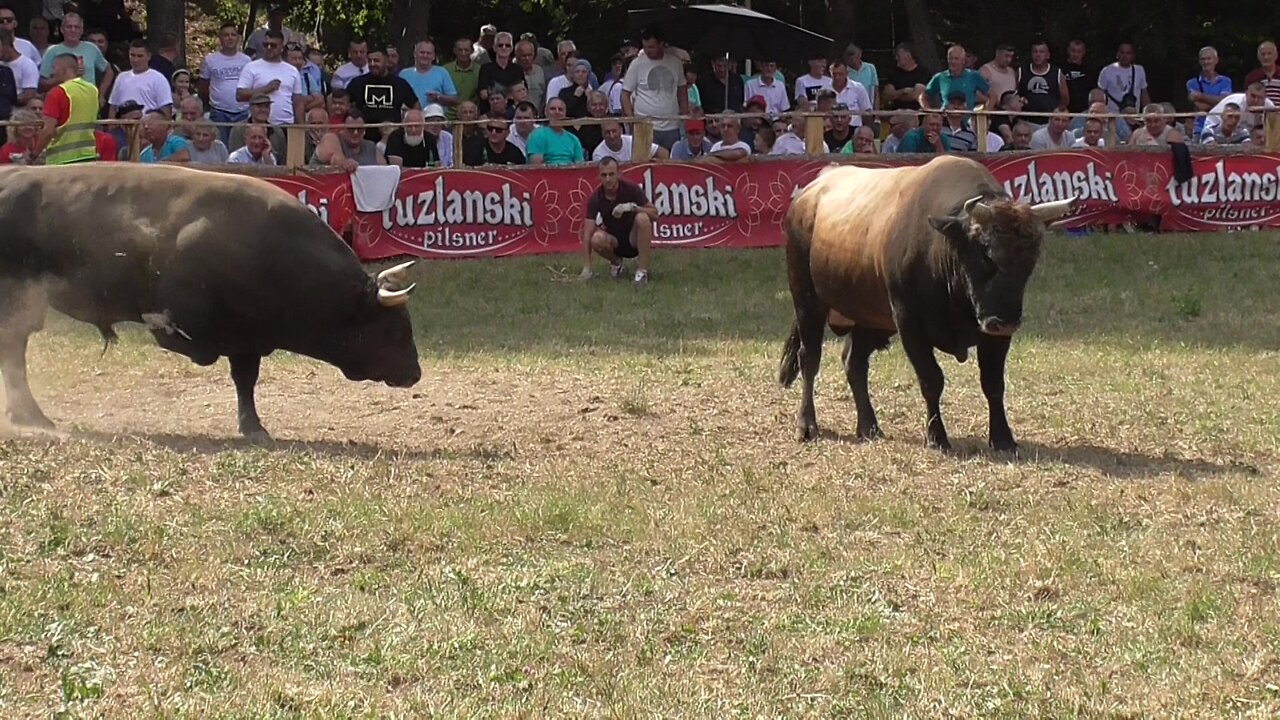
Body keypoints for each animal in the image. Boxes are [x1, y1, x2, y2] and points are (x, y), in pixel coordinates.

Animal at [773, 155, 1075, 448]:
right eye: (986, 253)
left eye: (1031, 260)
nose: (1005, 321)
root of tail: (810, 193)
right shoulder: (910, 323)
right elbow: (931, 379)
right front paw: (936, 436)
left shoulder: (995, 333)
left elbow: (993, 383)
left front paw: (1002, 437)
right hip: (807, 300)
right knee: (809, 358)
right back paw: (807, 425)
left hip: (871, 318)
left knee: (854, 362)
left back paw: (869, 426)